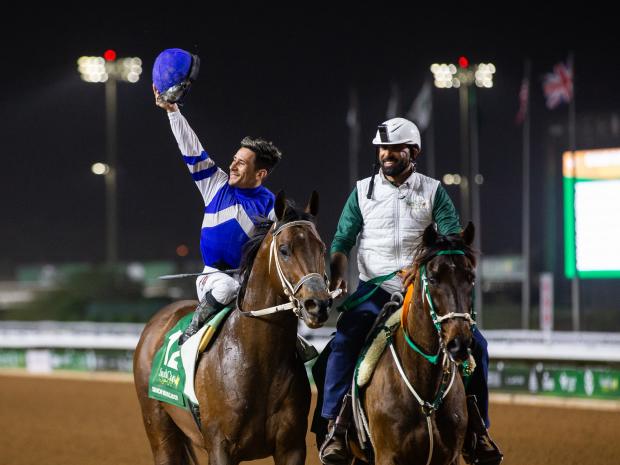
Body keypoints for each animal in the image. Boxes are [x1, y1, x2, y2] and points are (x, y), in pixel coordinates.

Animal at [133, 190, 332, 462]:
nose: (318, 304)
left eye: (321, 247)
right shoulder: (220, 447)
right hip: (158, 428)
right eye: (284, 250)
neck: (258, 358)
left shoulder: (291, 447)